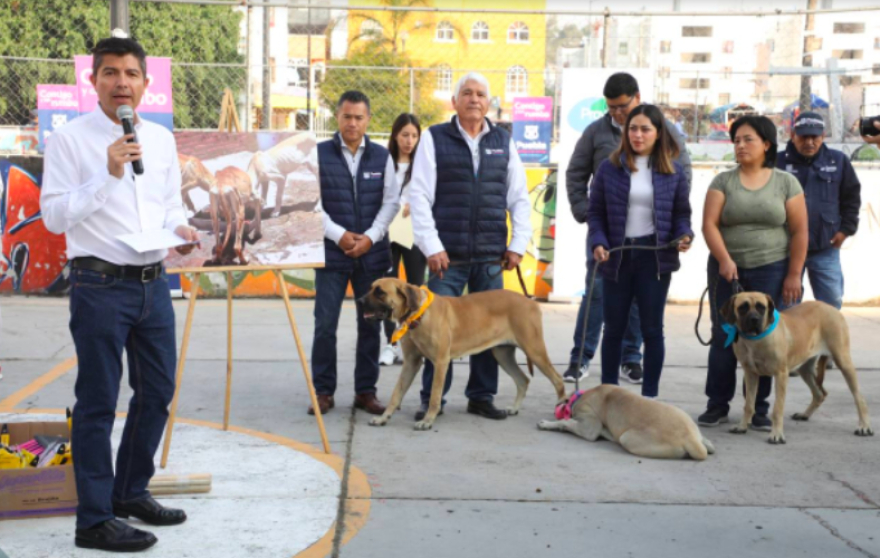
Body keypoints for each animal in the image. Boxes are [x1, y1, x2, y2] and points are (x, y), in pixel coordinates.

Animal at [360, 280, 568, 434]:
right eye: (370, 287)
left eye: (379, 292)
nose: (360, 300)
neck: (418, 314)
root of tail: (531, 301)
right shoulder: (411, 362)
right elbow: (396, 393)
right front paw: (383, 418)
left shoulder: (441, 362)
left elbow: (434, 396)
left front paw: (427, 421)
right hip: (503, 354)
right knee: (523, 379)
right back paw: (515, 408)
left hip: (534, 350)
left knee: (557, 379)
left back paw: (561, 410)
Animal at [536, 388, 716, 462]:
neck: (579, 396)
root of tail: (690, 438)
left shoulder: (589, 424)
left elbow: (568, 422)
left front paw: (549, 424)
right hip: (683, 416)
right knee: (708, 445)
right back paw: (707, 442)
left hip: (627, 438)